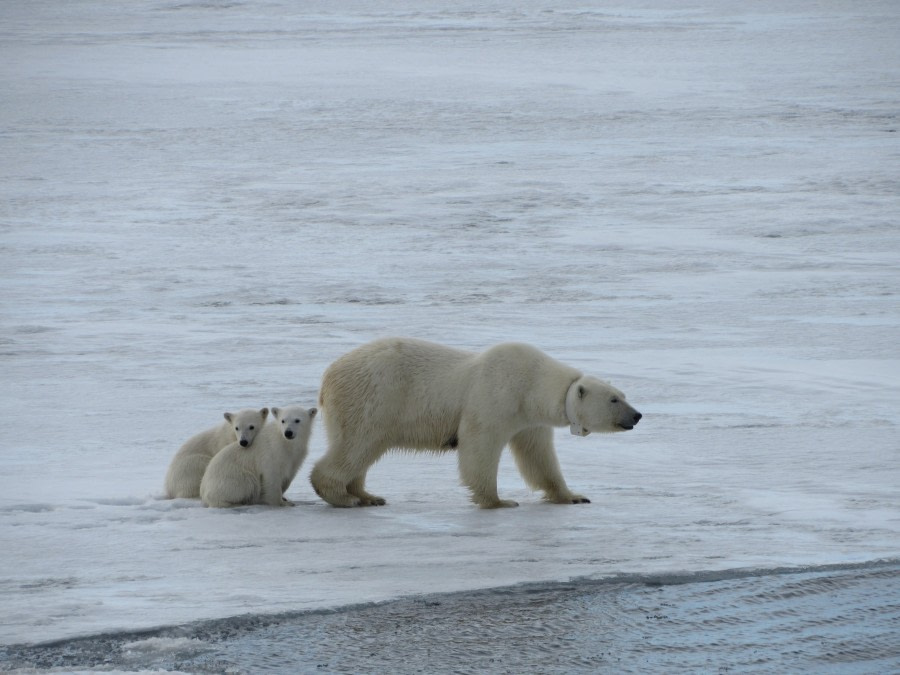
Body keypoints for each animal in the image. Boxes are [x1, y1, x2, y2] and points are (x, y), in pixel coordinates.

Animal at [310, 340, 640, 510]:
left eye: (623, 394)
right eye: (614, 399)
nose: (637, 415)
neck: (532, 383)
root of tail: (327, 376)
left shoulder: (528, 419)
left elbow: (538, 457)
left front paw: (573, 496)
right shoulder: (496, 396)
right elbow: (480, 444)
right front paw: (498, 501)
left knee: (363, 450)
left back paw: (368, 496)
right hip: (373, 397)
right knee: (357, 444)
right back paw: (343, 496)